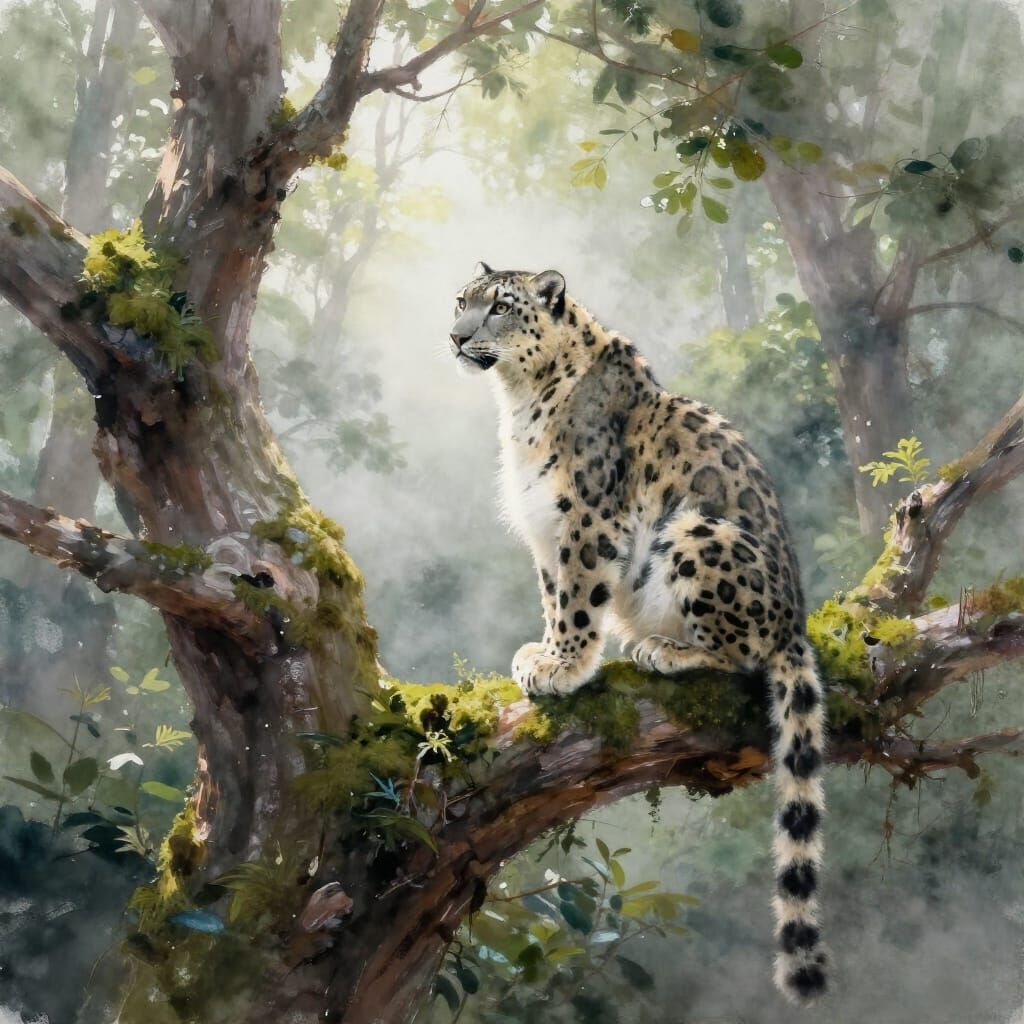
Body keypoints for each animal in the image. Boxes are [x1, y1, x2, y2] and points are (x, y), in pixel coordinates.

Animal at [449, 263, 828, 1005]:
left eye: (501, 307)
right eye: (461, 301)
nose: (455, 335)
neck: (518, 405)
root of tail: (795, 619)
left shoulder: (587, 520)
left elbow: (578, 599)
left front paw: (564, 667)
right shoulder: (544, 532)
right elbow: (552, 595)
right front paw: (542, 653)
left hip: (697, 533)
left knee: (745, 653)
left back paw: (664, 648)